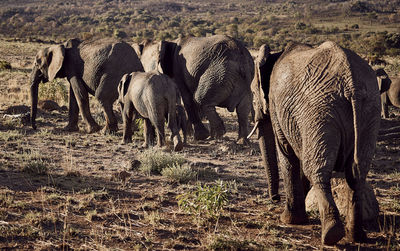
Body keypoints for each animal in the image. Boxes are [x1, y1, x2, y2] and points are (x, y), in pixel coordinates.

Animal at [250, 41, 382, 245]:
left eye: (251, 92)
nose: (275, 198)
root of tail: (351, 84)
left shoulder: (276, 106)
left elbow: (288, 155)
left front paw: (289, 220)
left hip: (319, 111)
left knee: (316, 169)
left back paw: (331, 235)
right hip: (370, 110)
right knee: (357, 173)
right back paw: (356, 236)